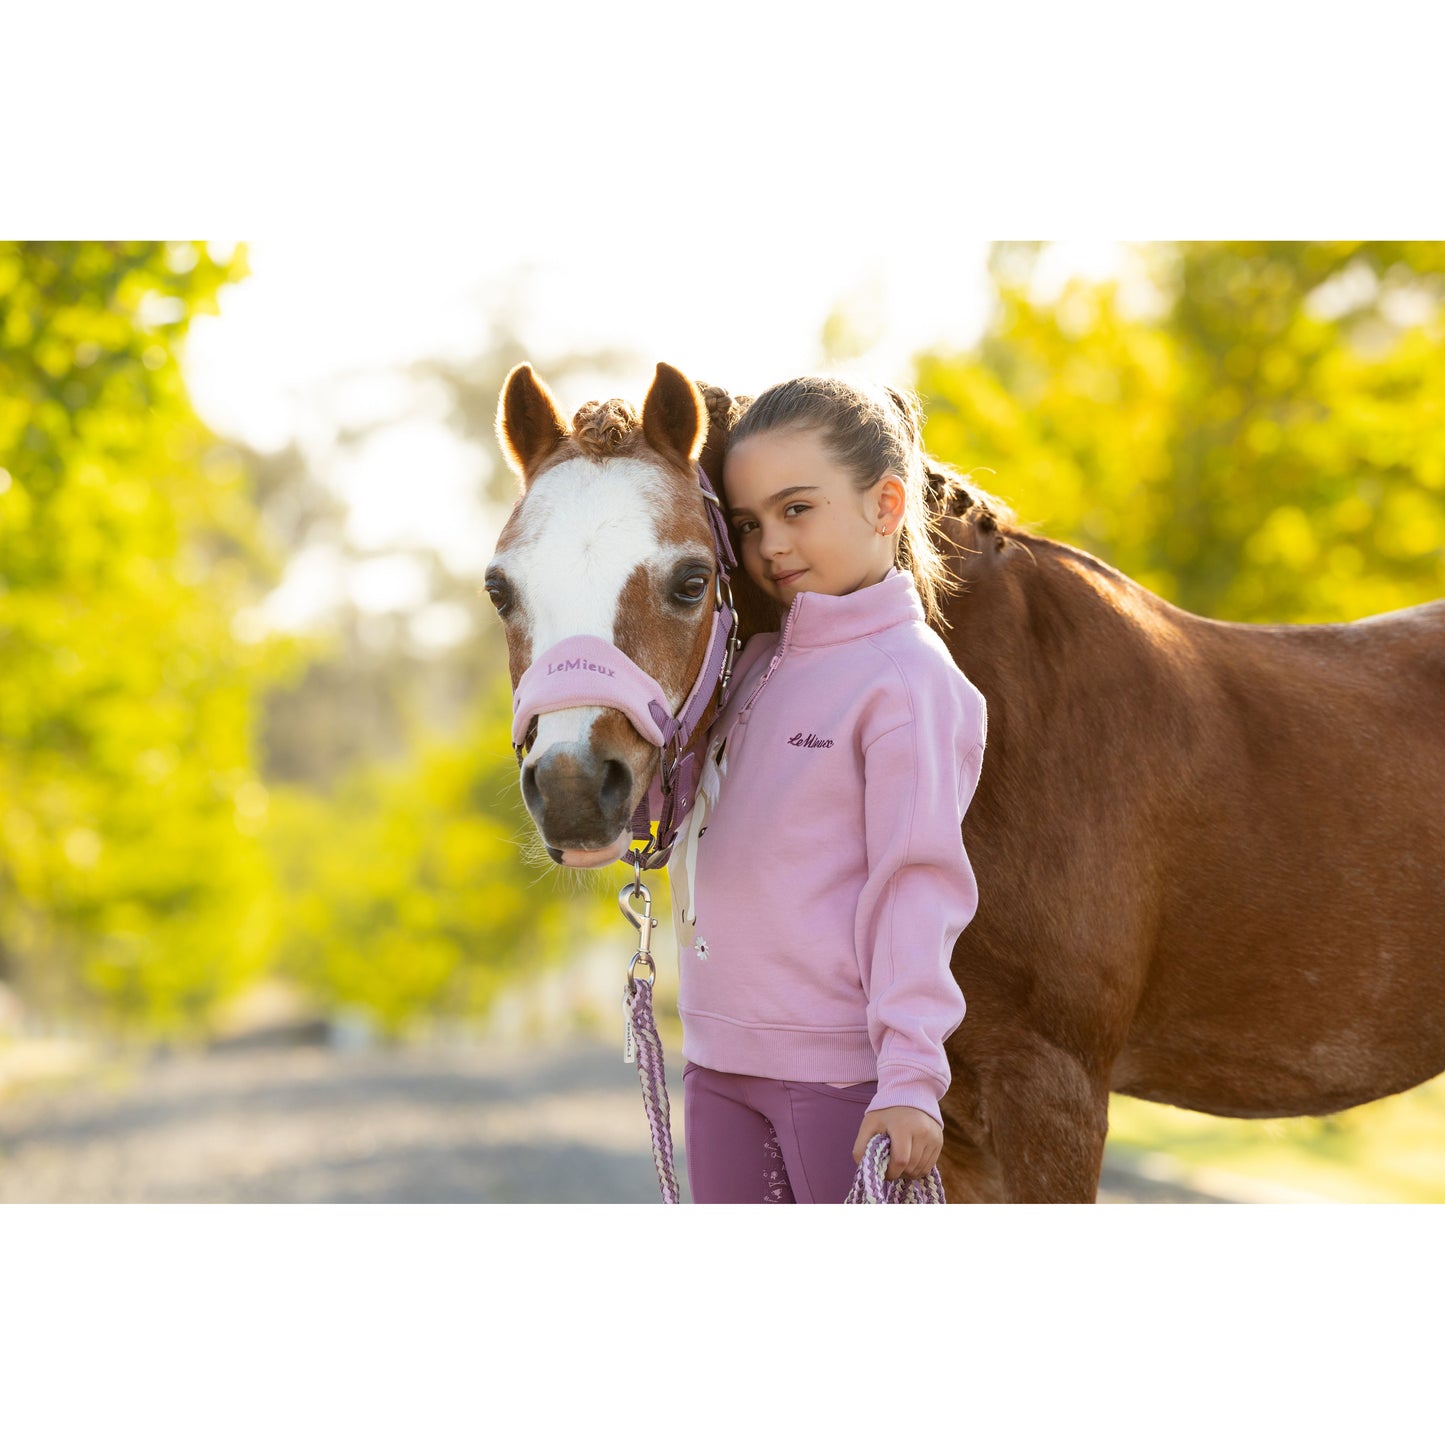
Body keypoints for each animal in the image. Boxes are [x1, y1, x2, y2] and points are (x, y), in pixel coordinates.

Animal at [487, 360, 1445, 1202]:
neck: (1005, 714)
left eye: (691, 579)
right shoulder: (943, 1126)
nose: (573, 788)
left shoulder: (1048, 1098)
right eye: (501, 588)